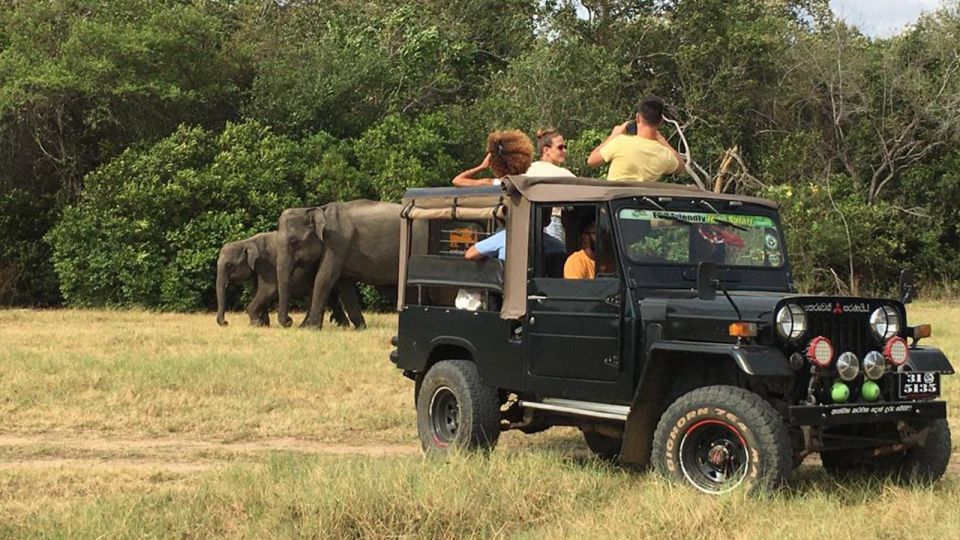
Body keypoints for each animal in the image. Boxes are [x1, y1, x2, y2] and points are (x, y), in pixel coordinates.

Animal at [214, 230, 364, 326]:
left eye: (229, 265)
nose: (226, 323)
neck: (248, 241)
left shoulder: (267, 263)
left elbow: (269, 289)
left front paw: (256, 323)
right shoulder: (257, 268)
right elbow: (258, 289)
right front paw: (263, 324)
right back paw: (342, 324)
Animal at [278, 202, 428, 330]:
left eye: (293, 241)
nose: (289, 321)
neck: (317, 209)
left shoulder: (337, 242)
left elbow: (323, 278)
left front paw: (312, 328)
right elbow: (344, 286)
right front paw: (361, 328)